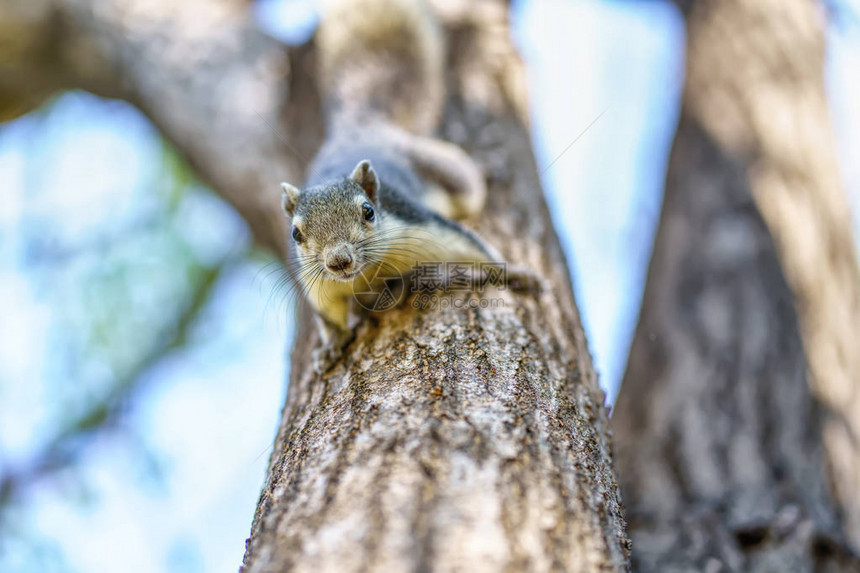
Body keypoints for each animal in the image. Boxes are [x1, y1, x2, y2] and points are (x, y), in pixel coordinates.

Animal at [280, 0, 536, 366]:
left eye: (369, 211)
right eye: (295, 234)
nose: (338, 261)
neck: (365, 274)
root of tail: (362, 129)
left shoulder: (421, 226)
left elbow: (472, 247)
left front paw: (515, 272)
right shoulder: (317, 284)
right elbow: (328, 317)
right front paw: (331, 346)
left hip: (446, 173)